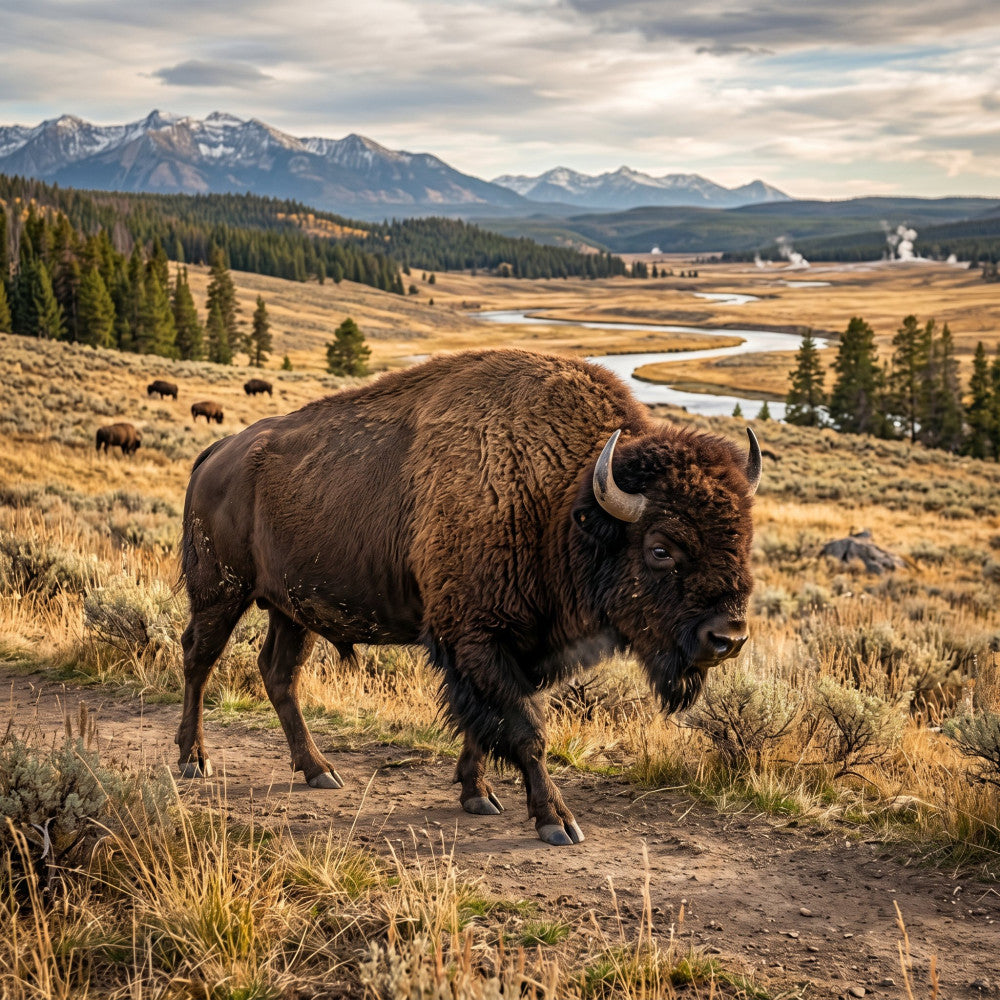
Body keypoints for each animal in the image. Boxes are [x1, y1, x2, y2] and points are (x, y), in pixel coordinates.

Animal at [178, 349, 760, 846]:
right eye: (661, 548)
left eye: (743, 539)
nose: (728, 638)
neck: (562, 500)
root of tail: (215, 455)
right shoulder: (476, 637)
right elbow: (527, 730)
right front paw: (557, 822)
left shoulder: (512, 650)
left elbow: (486, 726)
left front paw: (477, 794)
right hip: (220, 592)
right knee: (198, 659)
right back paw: (193, 760)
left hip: (290, 608)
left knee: (279, 674)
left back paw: (319, 770)